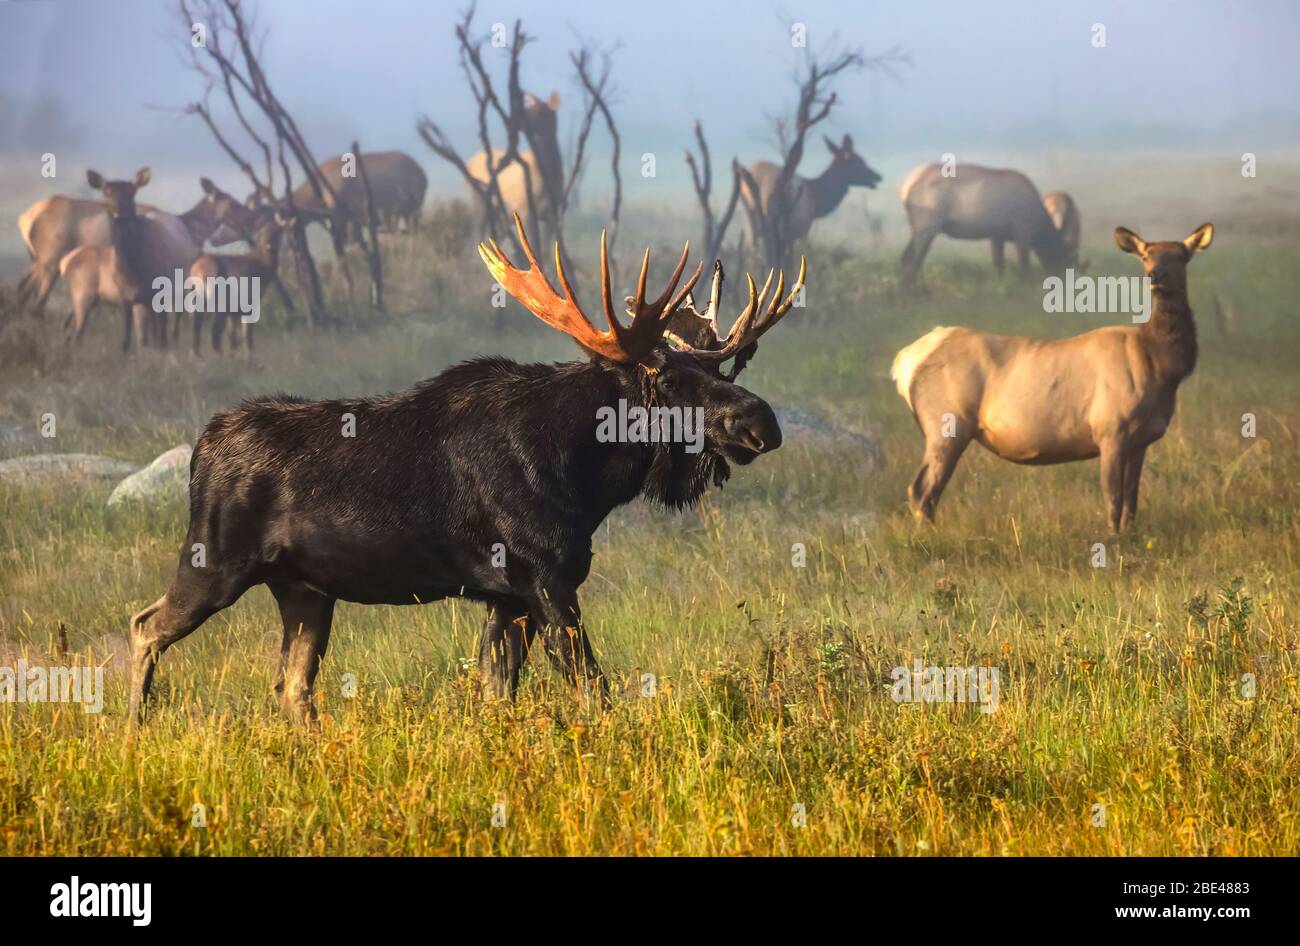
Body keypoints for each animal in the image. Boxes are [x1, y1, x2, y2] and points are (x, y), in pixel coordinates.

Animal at [16, 174, 252, 314]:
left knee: (23, 290)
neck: (191, 230)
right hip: (50, 260)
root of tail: (26, 218)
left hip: (36, 259)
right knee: (37, 299)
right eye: (232, 203)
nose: (252, 215)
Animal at [126, 218, 806, 727]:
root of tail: (202, 445)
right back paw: (133, 731)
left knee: (292, 688)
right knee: (143, 626)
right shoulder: (545, 580)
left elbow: (495, 694)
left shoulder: (505, 596)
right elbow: (594, 690)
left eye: (720, 370)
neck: (584, 477)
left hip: (305, 590)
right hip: (214, 561)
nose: (761, 422)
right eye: (665, 379)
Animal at [889, 222, 1211, 532]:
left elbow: (1132, 498)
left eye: (1181, 255)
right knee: (922, 489)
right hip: (945, 423)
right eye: (1146, 255)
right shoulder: (1110, 428)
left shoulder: (1140, 441)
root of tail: (904, 362)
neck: (1159, 366)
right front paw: (1113, 539)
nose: (1156, 275)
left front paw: (1131, 535)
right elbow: (1113, 497)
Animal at [904, 161, 1076, 284]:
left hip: (918, 229)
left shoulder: (996, 236)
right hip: (926, 228)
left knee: (906, 258)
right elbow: (1024, 266)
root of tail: (905, 189)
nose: (1063, 281)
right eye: (1066, 259)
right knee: (913, 261)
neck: (1040, 226)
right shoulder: (1022, 233)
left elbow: (999, 266)